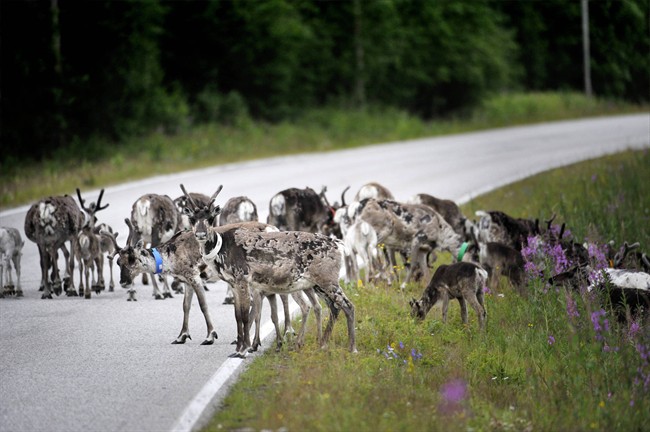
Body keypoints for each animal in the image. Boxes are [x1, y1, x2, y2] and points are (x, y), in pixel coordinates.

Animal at [182, 186, 357, 358]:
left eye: (211, 217)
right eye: (192, 218)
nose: (200, 234)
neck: (221, 250)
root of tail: (338, 244)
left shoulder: (242, 280)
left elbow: (245, 316)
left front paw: (244, 349)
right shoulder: (233, 284)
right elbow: (237, 316)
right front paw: (237, 349)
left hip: (327, 280)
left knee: (348, 305)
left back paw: (352, 348)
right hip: (317, 284)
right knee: (333, 307)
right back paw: (323, 344)